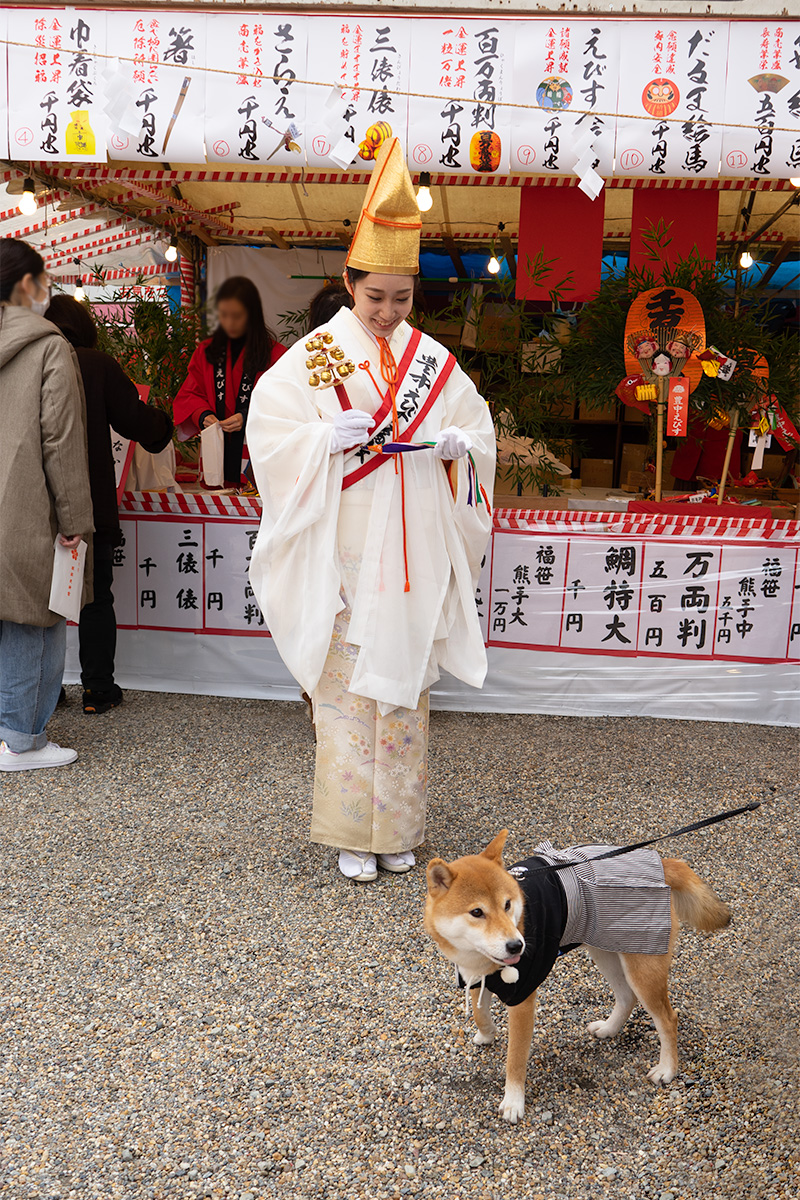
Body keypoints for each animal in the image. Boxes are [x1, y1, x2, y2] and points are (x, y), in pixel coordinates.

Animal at [424, 830, 734, 1118]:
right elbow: (479, 1013)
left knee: (667, 1019)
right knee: (626, 998)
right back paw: (609, 1029)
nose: (516, 945)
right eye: (477, 912)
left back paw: (667, 1069)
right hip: (605, 952)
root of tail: (661, 862)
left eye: (507, 904)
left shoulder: (523, 999)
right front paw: (487, 1034)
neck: (480, 959)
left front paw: (513, 1102)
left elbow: (515, 1058)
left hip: (641, 968)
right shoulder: (476, 977)